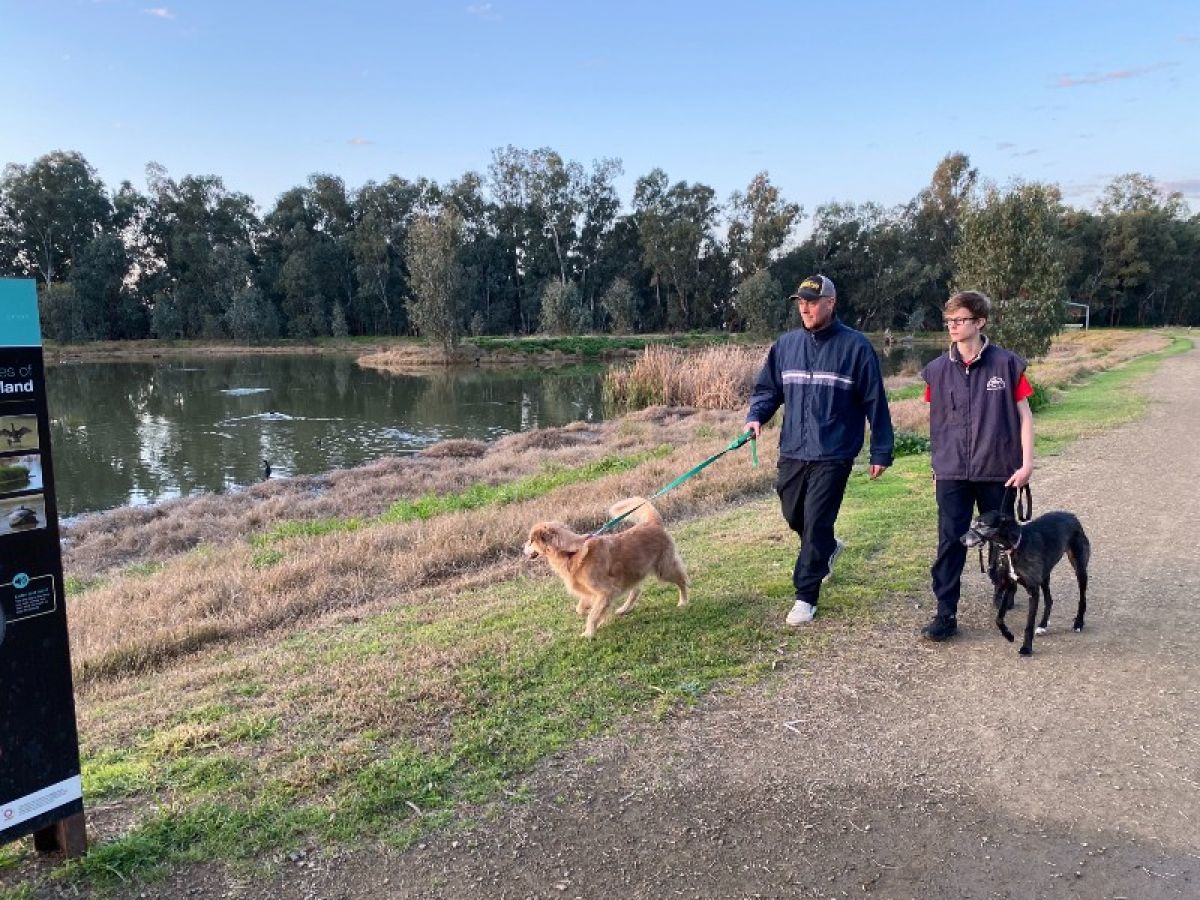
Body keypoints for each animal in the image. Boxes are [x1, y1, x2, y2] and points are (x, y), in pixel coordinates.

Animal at [523, 501, 691, 643]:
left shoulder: (606, 591)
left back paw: (683, 601)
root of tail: (652, 523)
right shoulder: (592, 592)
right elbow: (582, 609)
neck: (571, 553)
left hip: (663, 569)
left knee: (682, 580)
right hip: (631, 572)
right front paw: (599, 617)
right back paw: (624, 609)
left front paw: (589, 632)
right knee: (636, 590)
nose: (522, 548)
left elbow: (592, 614)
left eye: (531, 541)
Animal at [960, 513, 1094, 657]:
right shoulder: (1010, 585)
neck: (1014, 547)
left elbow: (1029, 625)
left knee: (1082, 598)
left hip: (1079, 569)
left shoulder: (1033, 591)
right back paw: (1043, 625)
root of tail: (1072, 516)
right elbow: (999, 618)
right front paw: (1008, 635)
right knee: (1049, 599)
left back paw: (1078, 623)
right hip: (1044, 575)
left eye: (982, 525)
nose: (961, 539)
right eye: (973, 523)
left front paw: (1026, 648)